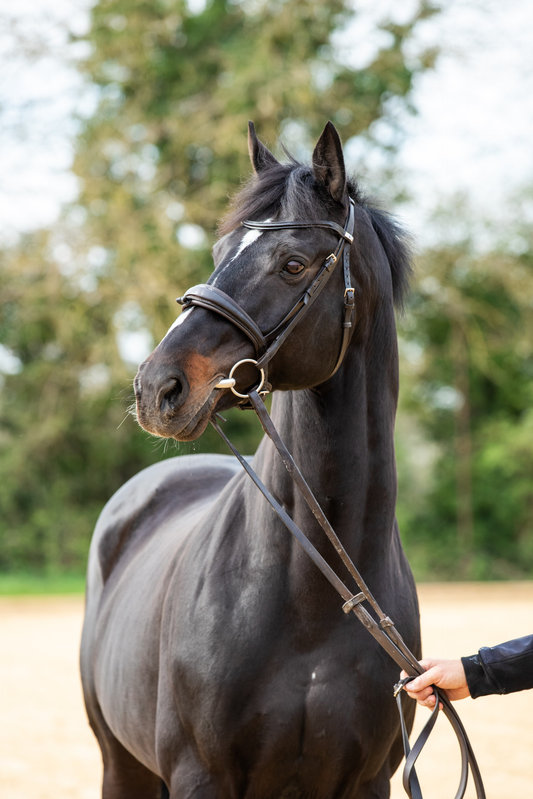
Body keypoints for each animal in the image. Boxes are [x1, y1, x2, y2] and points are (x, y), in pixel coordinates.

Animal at [80, 121, 421, 799]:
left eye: (293, 264)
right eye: (218, 253)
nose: (157, 388)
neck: (313, 602)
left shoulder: (369, 781)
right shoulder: (200, 776)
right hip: (120, 764)